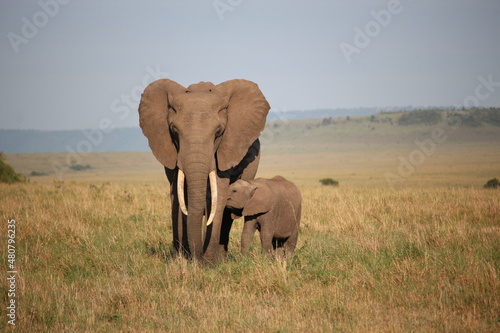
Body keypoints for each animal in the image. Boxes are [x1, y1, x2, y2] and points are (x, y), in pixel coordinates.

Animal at [139, 78, 270, 262]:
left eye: (218, 132)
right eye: (174, 131)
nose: (197, 257)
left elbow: (218, 195)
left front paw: (208, 263)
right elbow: (178, 197)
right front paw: (180, 260)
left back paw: (220, 258)